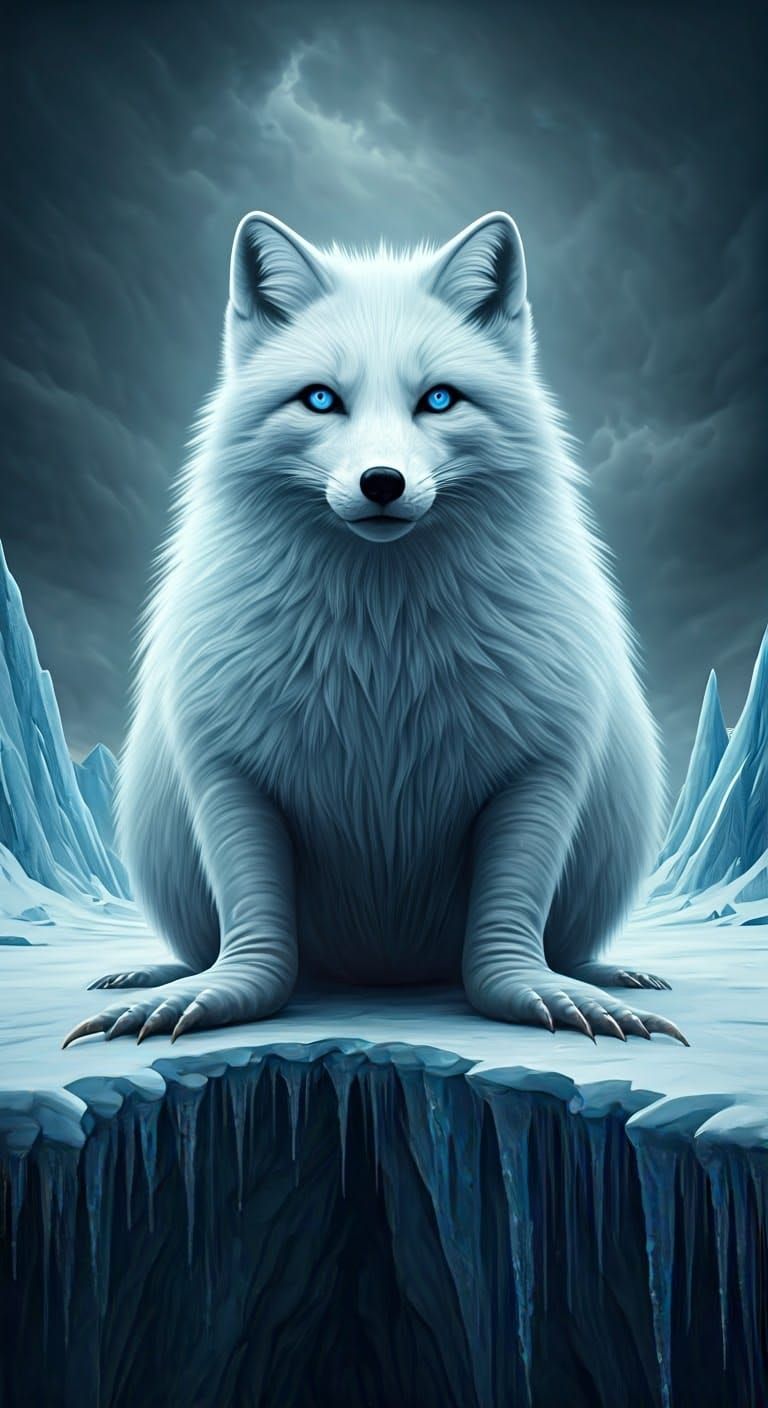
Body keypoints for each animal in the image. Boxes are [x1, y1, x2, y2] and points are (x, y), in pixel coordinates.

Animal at [64, 210, 686, 1049]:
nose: (382, 483)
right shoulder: (226, 770)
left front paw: (545, 995)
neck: (383, 653)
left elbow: (508, 927)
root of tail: (385, 976)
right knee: (203, 944)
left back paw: (605, 973)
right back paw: (155, 973)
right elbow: (255, 934)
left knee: (570, 944)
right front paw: (210, 997)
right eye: (321, 399)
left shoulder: (543, 768)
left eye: (440, 399)